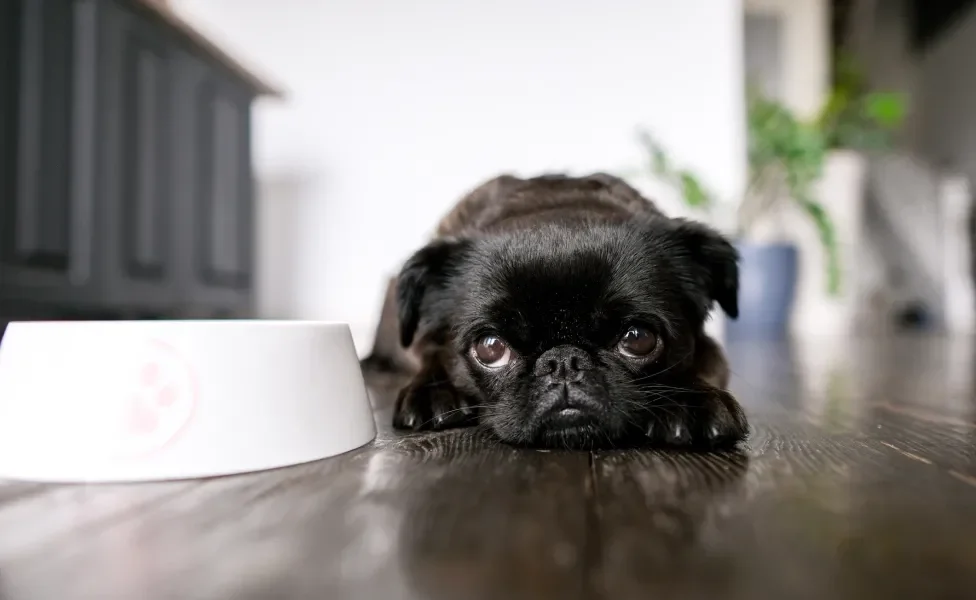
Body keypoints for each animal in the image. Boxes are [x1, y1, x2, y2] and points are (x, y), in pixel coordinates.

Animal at [362, 171, 752, 448]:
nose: (563, 362)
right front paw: (431, 391)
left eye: (638, 338)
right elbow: (431, 354)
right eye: (490, 348)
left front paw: (690, 401)